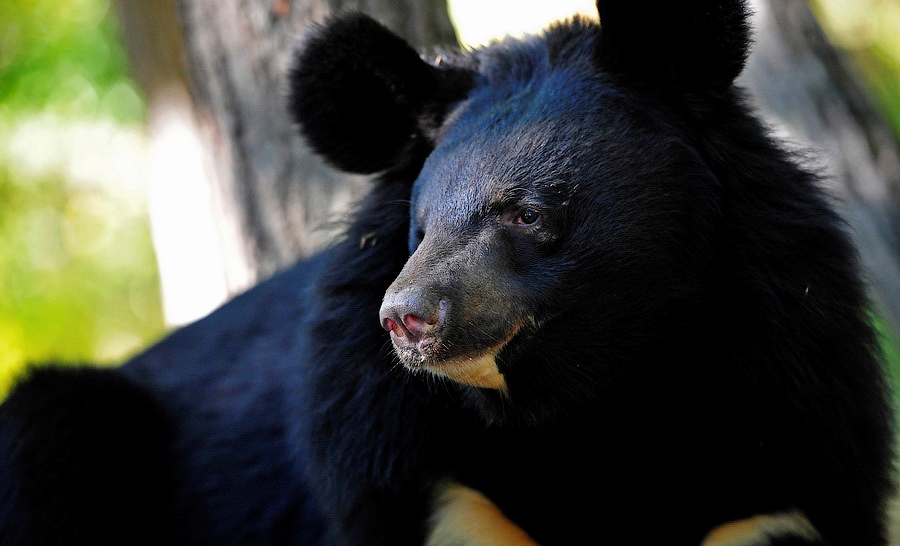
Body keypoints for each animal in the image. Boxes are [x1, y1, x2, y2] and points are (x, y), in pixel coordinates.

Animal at [0, 0, 892, 540]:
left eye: (525, 214)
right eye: (418, 228)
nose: (408, 319)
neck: (593, 404)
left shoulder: (791, 433)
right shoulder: (397, 468)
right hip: (61, 424)